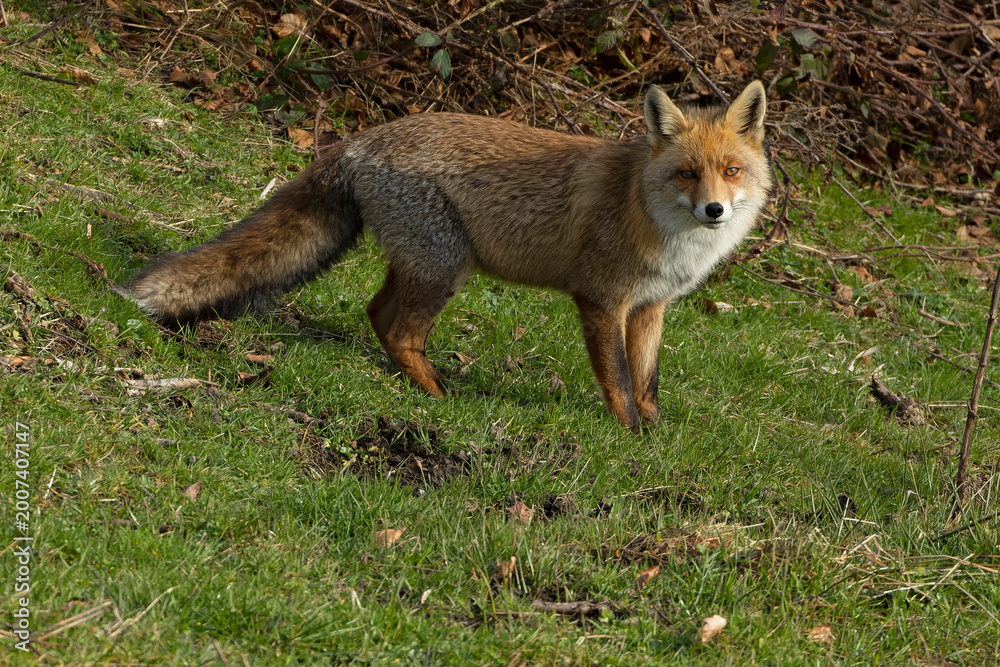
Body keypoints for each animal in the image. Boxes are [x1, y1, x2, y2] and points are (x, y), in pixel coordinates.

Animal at [122, 81, 771, 429]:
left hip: (424, 262)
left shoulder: (650, 307)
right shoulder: (600, 301)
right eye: (686, 173)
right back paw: (438, 398)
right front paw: (626, 434)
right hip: (445, 266)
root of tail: (359, 141)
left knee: (377, 313)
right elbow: (617, 380)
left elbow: (647, 381)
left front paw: (655, 434)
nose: (714, 210)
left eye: (731, 171)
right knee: (401, 329)